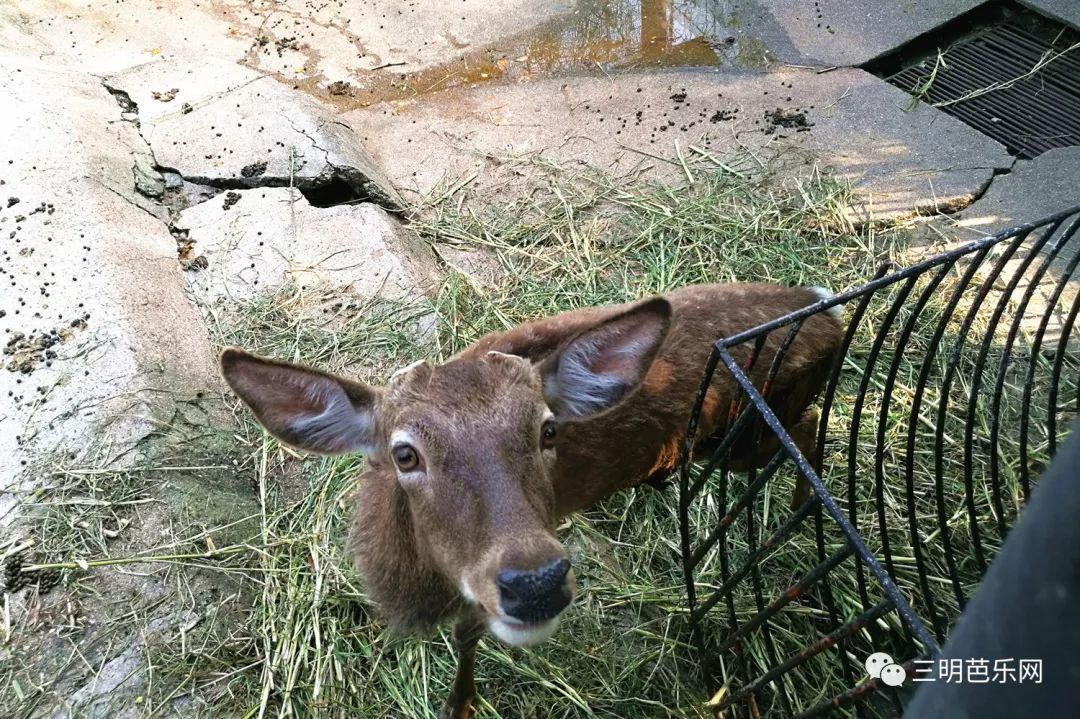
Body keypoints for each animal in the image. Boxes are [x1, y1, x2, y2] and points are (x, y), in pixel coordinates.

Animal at [219, 280, 842, 716]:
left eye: (547, 429)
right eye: (405, 453)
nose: (537, 582)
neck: (411, 592)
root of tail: (826, 308)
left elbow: (468, 640)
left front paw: (459, 704)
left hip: (744, 436)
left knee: (810, 428)